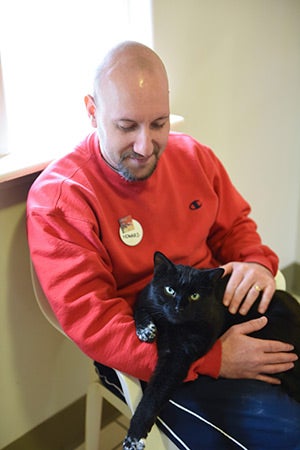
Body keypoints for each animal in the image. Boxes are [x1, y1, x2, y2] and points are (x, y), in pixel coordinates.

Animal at [122, 251, 300, 448]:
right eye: (169, 290)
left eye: (195, 296)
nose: (178, 307)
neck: (171, 326)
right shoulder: (145, 299)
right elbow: (140, 309)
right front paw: (146, 329)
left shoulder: (178, 357)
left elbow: (154, 395)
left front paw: (134, 436)